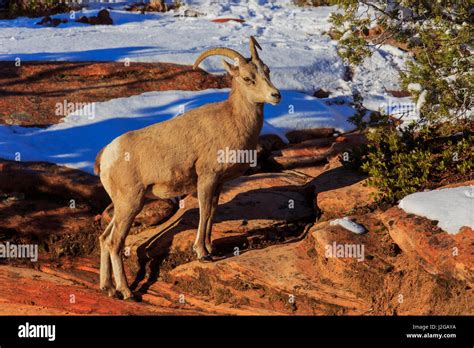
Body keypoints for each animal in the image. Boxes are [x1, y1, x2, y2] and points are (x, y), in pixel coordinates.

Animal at [96, 36, 282, 300]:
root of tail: (106, 156)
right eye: (248, 78)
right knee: (114, 243)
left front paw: (211, 248)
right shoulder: (207, 178)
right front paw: (202, 253)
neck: (232, 120)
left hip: (123, 205)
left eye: (267, 71)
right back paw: (127, 292)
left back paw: (109, 289)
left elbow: (212, 212)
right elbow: (204, 212)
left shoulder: (218, 183)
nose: (276, 95)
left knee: (104, 239)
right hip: (130, 204)